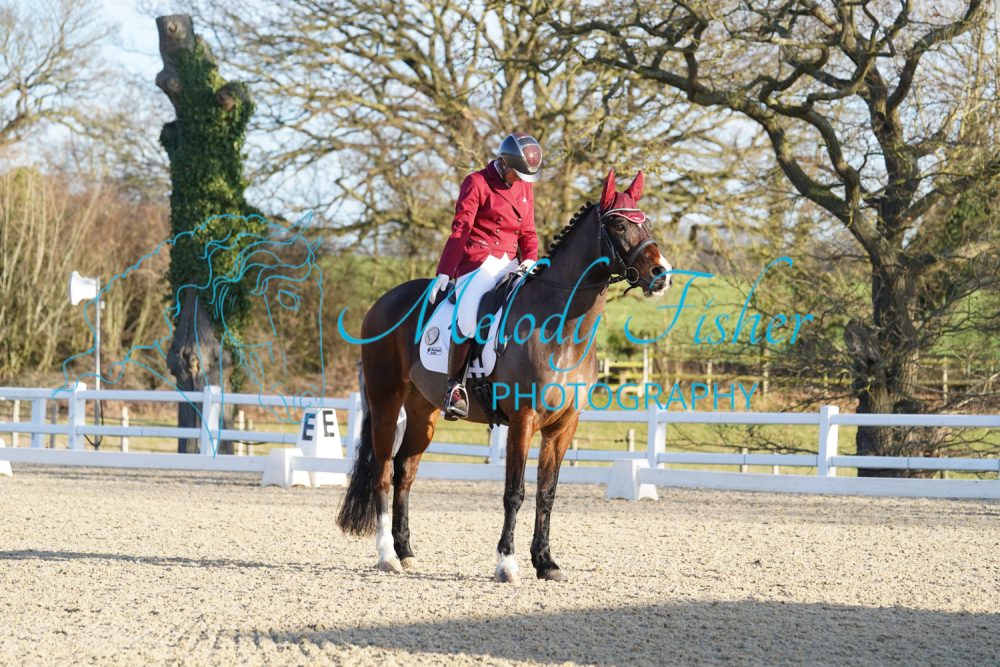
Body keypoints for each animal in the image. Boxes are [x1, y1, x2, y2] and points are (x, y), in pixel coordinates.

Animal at [336, 169, 672, 584]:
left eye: (648, 223)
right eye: (620, 224)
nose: (661, 274)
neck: (560, 322)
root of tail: (382, 303)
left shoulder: (564, 426)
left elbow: (547, 493)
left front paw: (546, 562)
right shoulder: (523, 421)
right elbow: (515, 492)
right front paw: (507, 563)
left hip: (422, 411)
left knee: (405, 471)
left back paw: (406, 551)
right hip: (386, 402)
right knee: (383, 472)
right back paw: (387, 556)